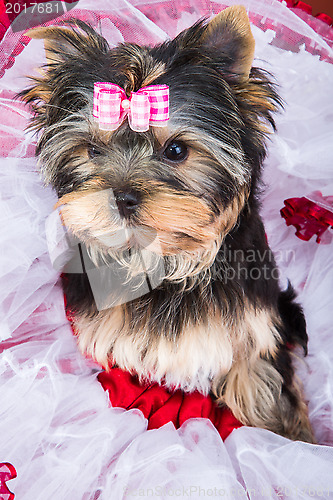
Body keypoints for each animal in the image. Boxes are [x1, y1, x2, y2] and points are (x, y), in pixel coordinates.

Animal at [21, 4, 314, 442]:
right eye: (92, 150)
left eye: (176, 150)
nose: (122, 196)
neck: (165, 259)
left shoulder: (255, 334)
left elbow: (260, 387)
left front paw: (285, 438)